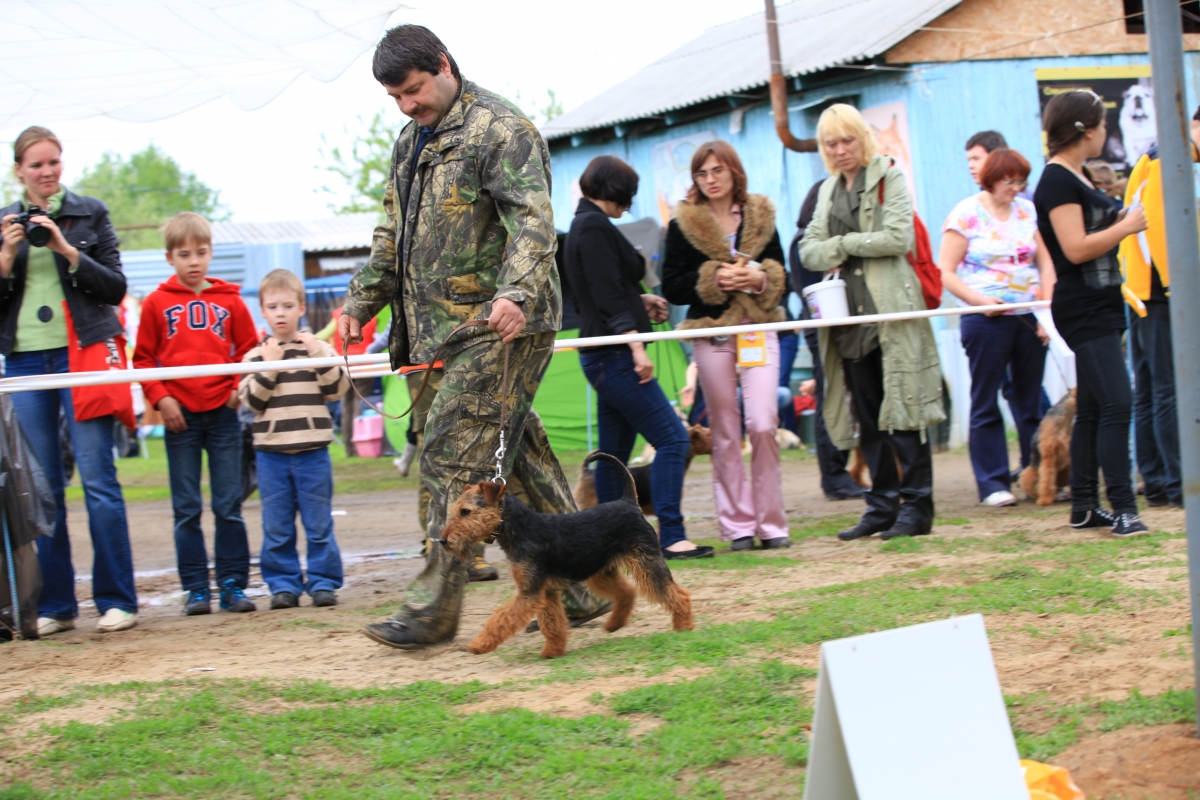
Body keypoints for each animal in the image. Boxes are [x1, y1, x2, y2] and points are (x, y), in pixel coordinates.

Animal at [444, 453, 696, 662]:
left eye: (466, 511)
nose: (444, 541)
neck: (520, 528)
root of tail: (629, 502)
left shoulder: (529, 593)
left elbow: (500, 620)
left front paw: (479, 645)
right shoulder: (545, 592)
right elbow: (553, 624)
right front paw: (553, 651)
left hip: (646, 564)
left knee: (678, 594)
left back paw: (683, 626)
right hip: (601, 573)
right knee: (627, 592)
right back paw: (614, 625)